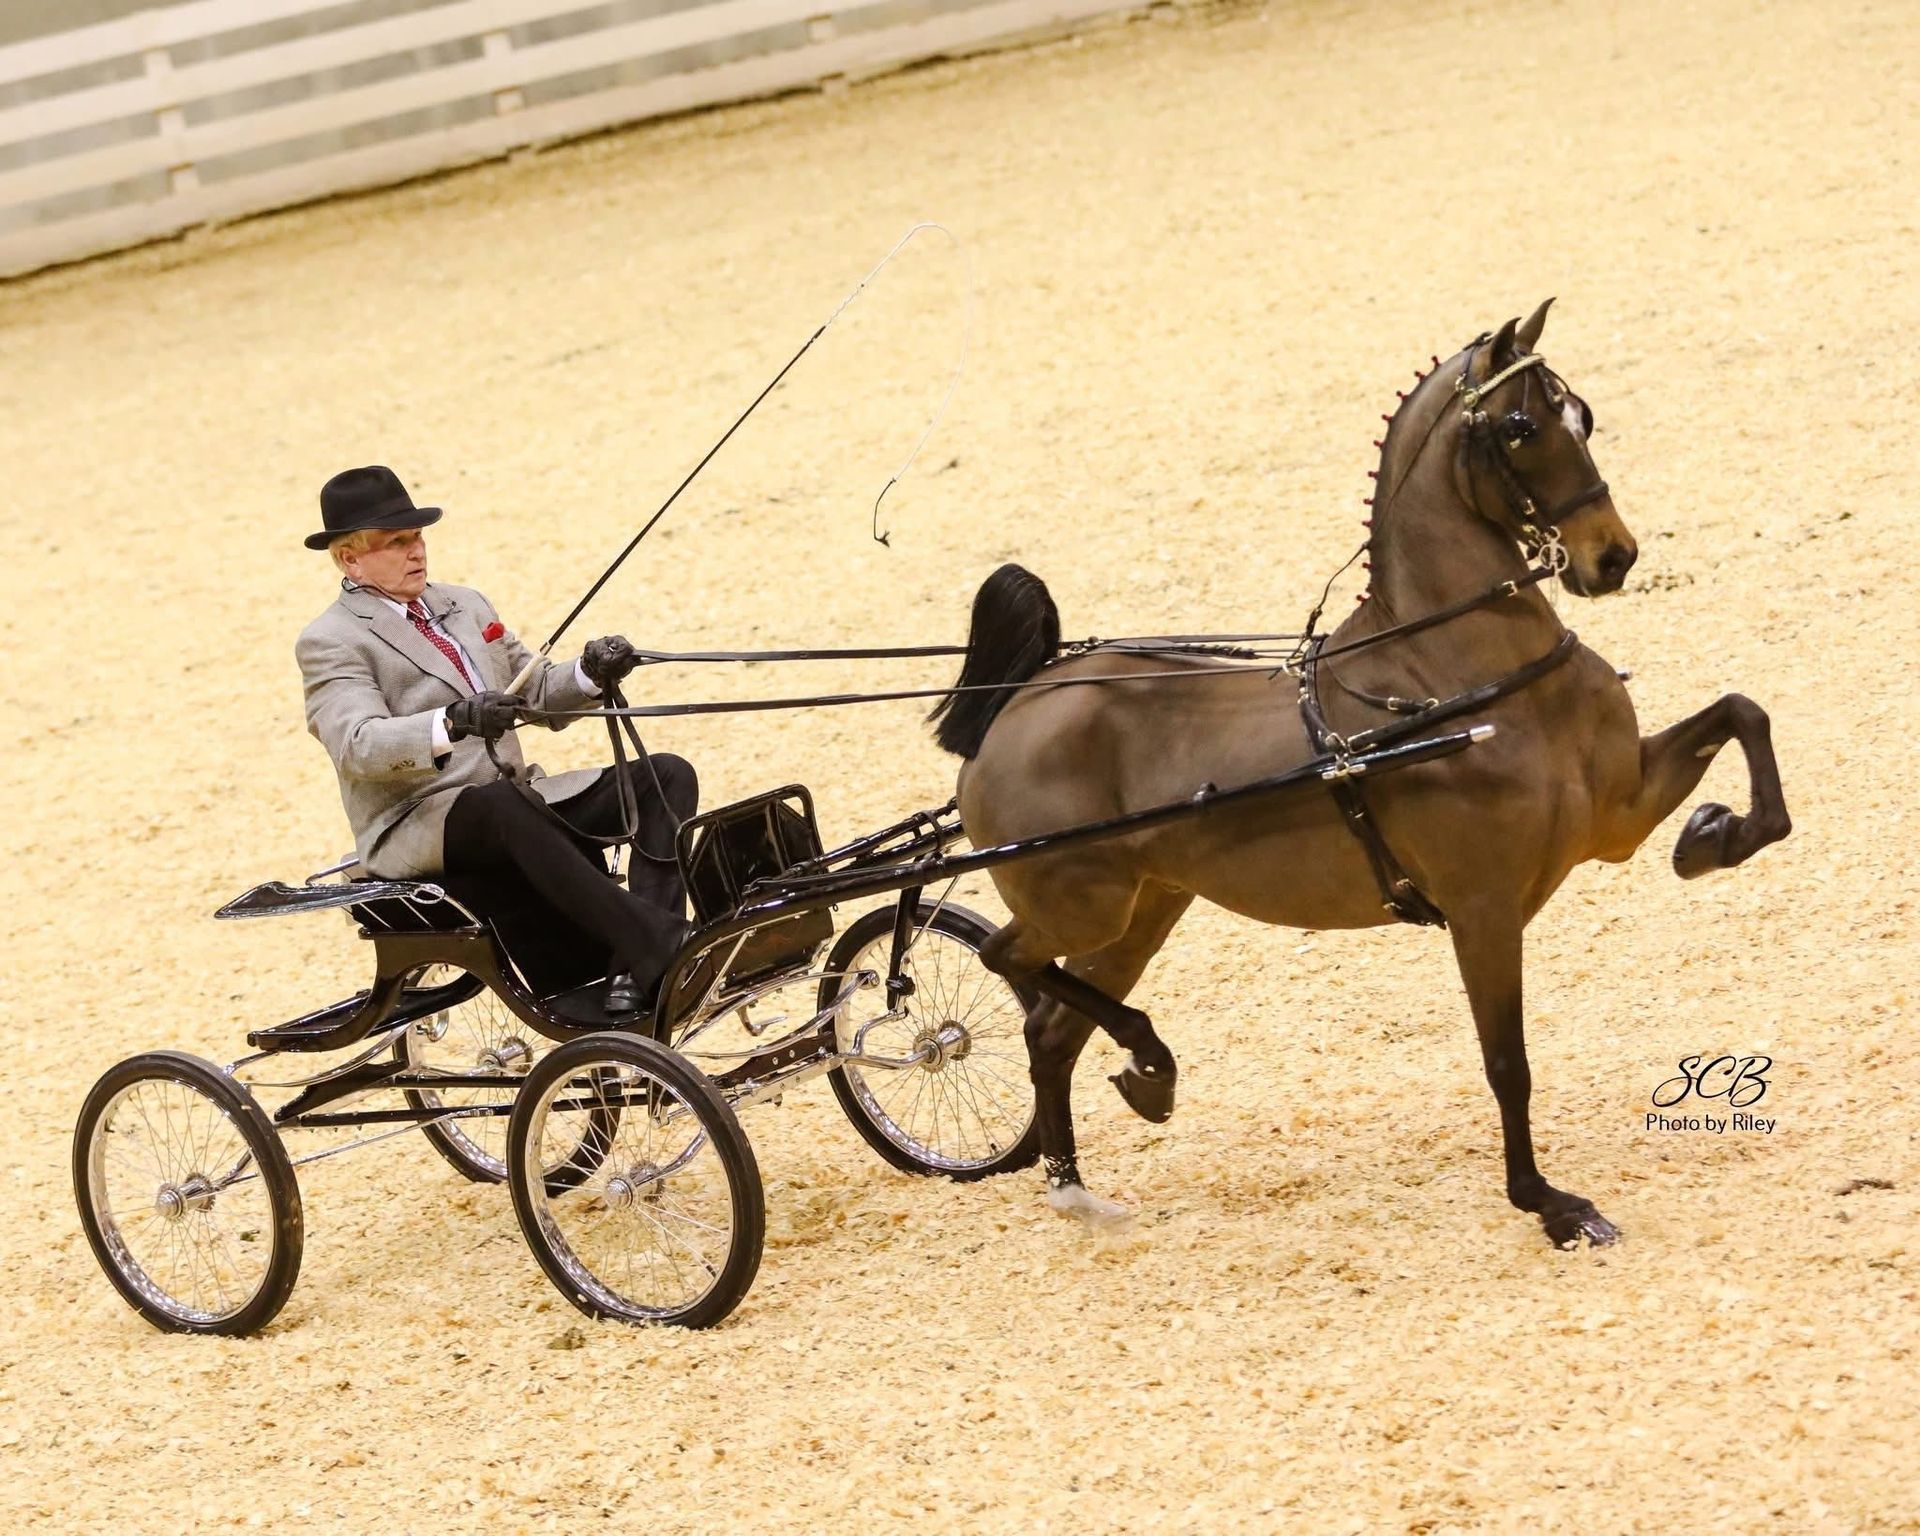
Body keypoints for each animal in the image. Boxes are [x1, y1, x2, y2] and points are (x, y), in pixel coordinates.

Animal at [928, 300, 1791, 1248]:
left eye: (1584, 416)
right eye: (1521, 427)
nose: (1613, 558)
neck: (1452, 672)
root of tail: (1019, 704)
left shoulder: (1617, 814)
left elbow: (1744, 714)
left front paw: (1715, 837)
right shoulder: (1483, 906)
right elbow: (1507, 1061)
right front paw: (1550, 1205)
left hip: (1144, 911)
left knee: (1052, 1029)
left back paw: (1083, 1178)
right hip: (1080, 907)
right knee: (1008, 961)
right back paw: (1141, 1068)